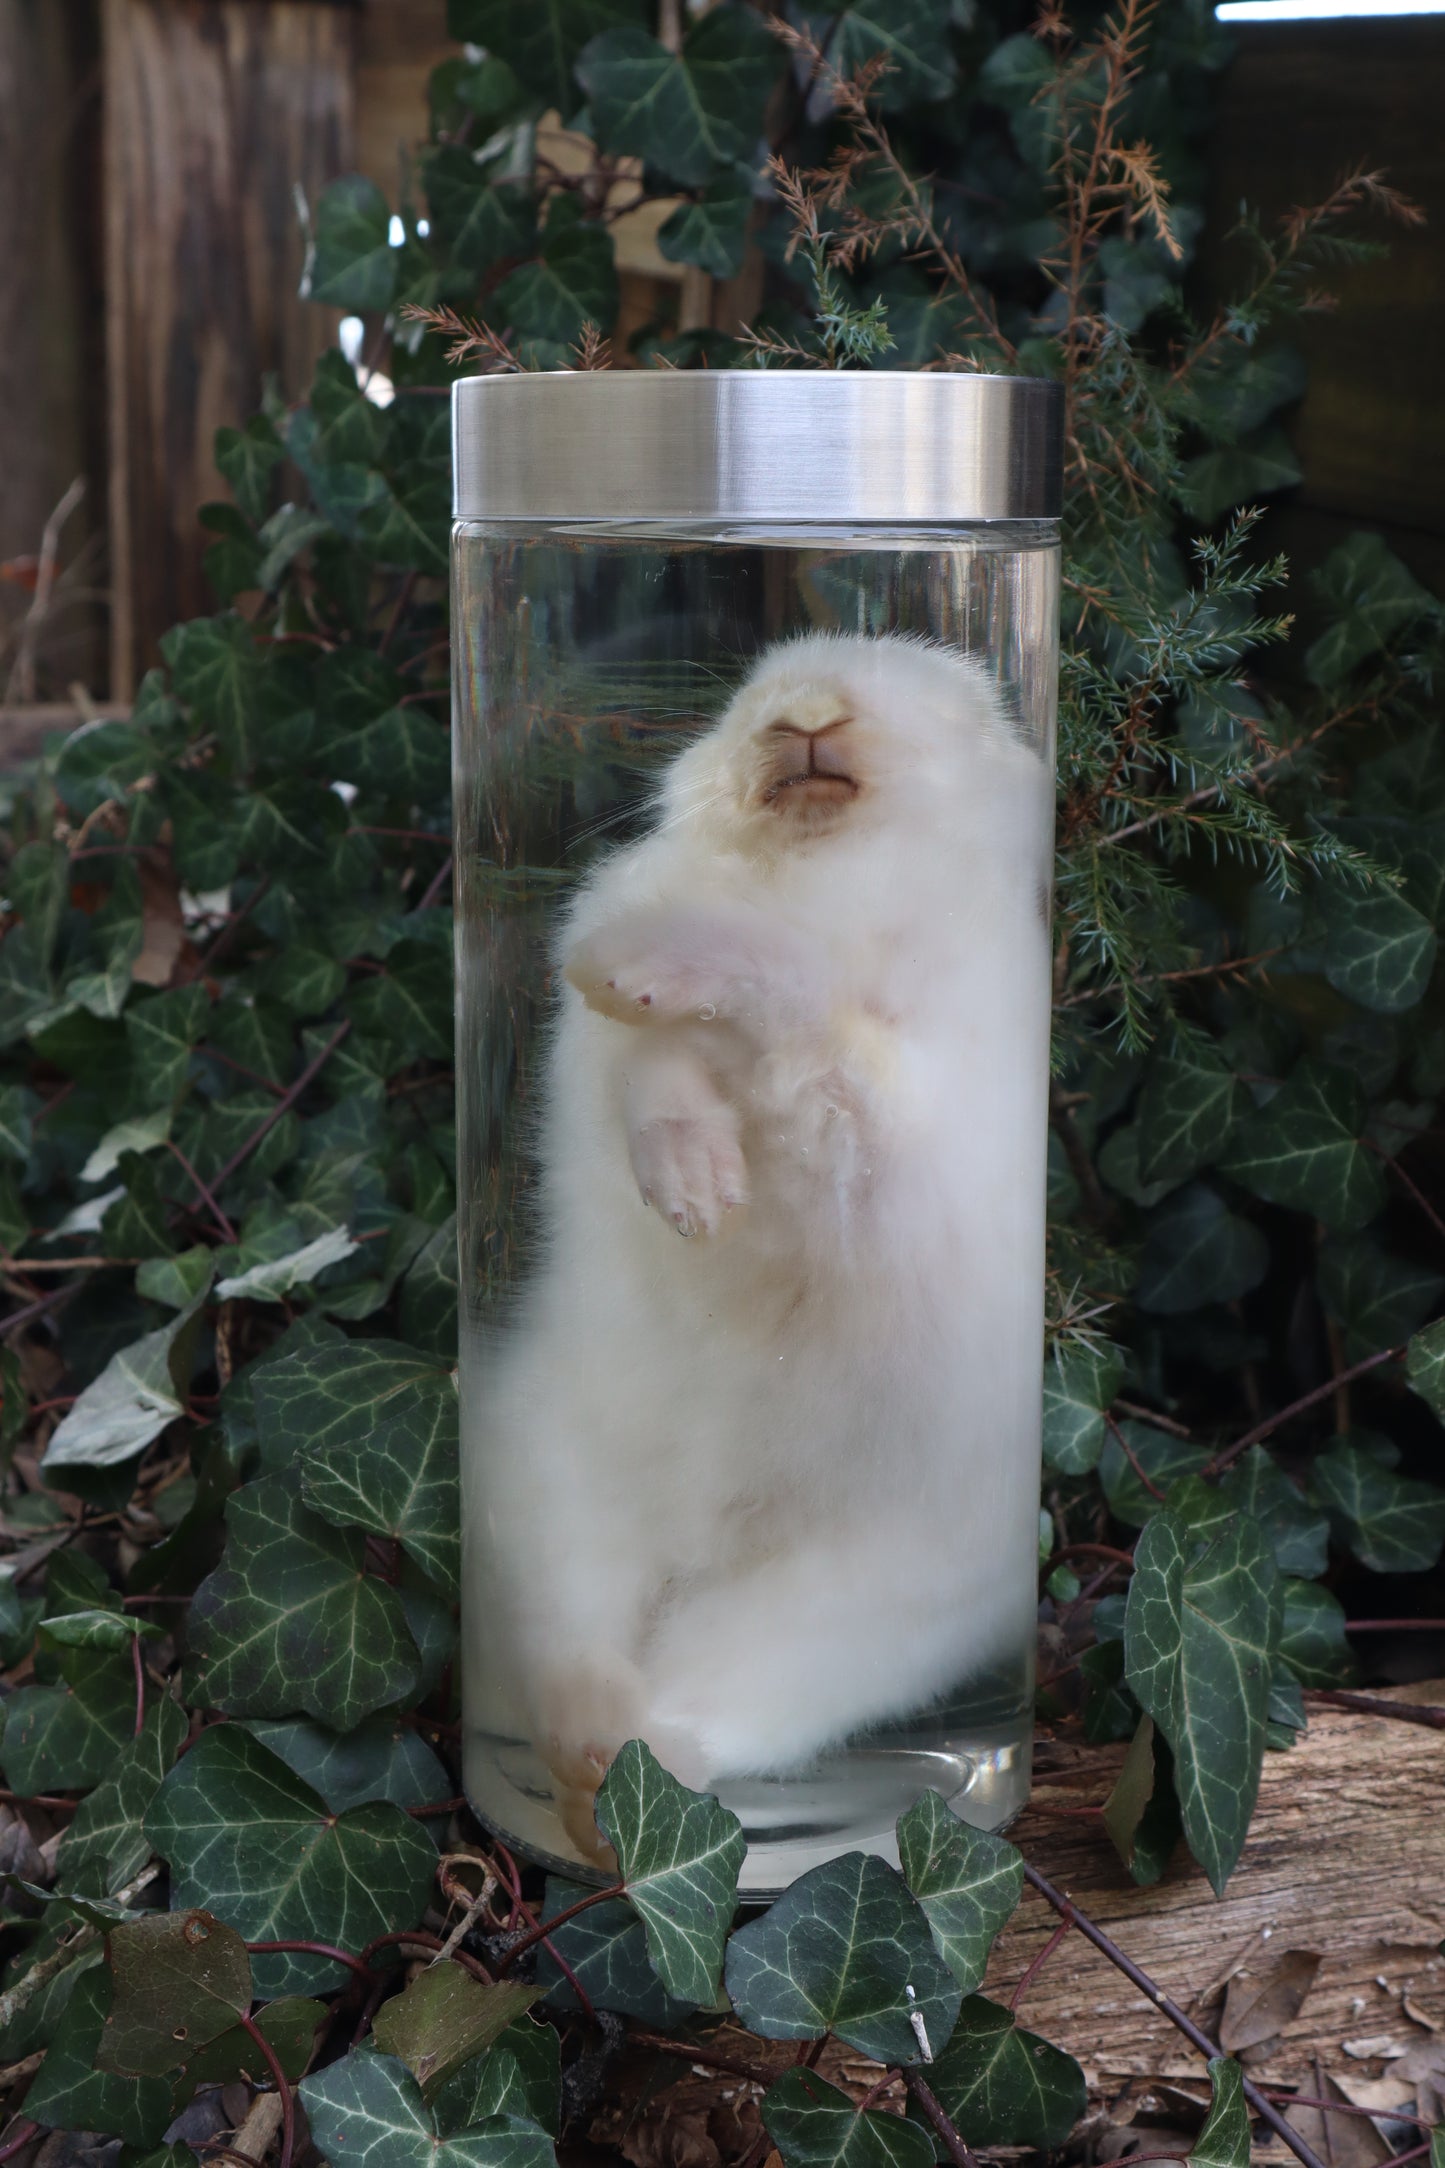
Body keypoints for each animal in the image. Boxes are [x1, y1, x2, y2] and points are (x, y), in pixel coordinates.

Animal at [468, 632, 1054, 1859]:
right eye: (747, 695)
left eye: (960, 705)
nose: (805, 717)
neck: (821, 874)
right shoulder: (615, 1062)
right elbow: (652, 1068)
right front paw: (692, 1187)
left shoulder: (898, 1116)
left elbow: (801, 1012)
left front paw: (655, 967)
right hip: (537, 1479)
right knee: (574, 1642)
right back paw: (587, 1767)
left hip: (859, 1603)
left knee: (714, 1696)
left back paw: (624, 1779)